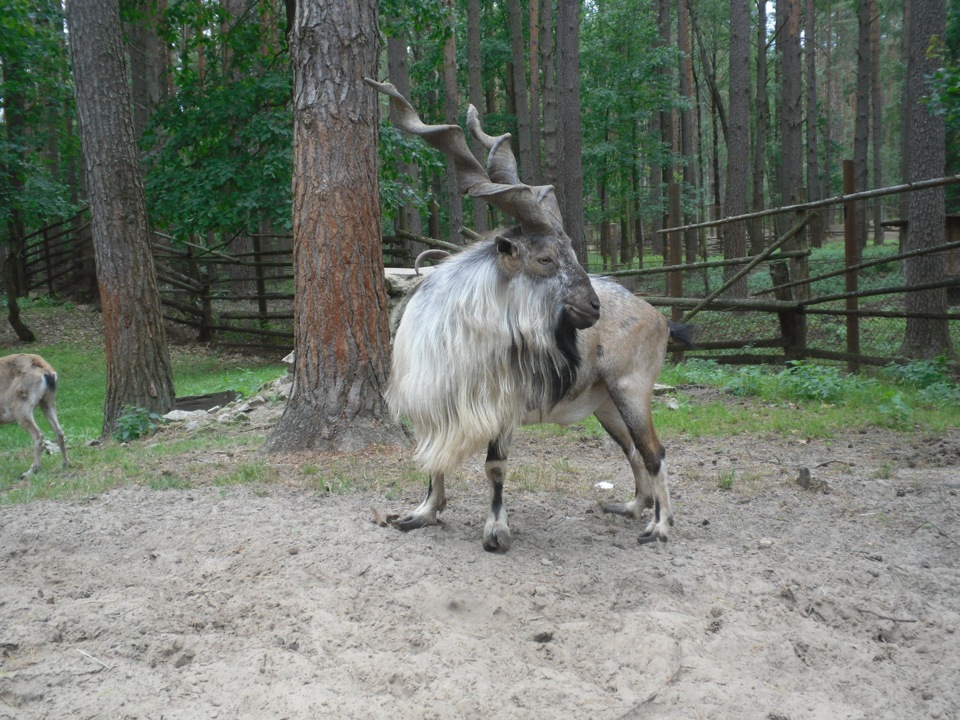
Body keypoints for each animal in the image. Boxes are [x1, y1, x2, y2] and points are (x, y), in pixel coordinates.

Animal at [368, 79, 688, 552]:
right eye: (544, 257)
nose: (593, 306)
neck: (459, 332)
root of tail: (658, 316)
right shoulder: (434, 405)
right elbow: (433, 460)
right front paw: (422, 513)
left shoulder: (502, 408)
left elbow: (495, 467)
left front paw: (496, 533)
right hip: (605, 403)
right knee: (632, 451)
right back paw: (631, 508)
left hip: (632, 389)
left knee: (654, 451)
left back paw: (659, 527)